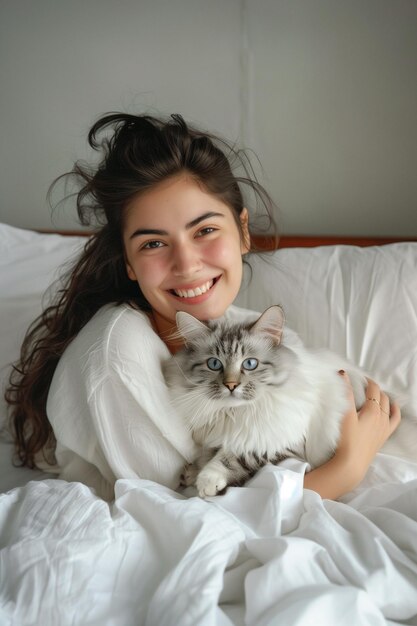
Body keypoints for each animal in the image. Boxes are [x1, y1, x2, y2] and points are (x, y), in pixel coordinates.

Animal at [163, 304, 404, 494]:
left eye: (250, 364)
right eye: (214, 364)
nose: (231, 386)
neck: (236, 413)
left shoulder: (283, 445)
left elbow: (236, 455)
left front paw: (207, 479)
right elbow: (210, 451)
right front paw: (192, 472)